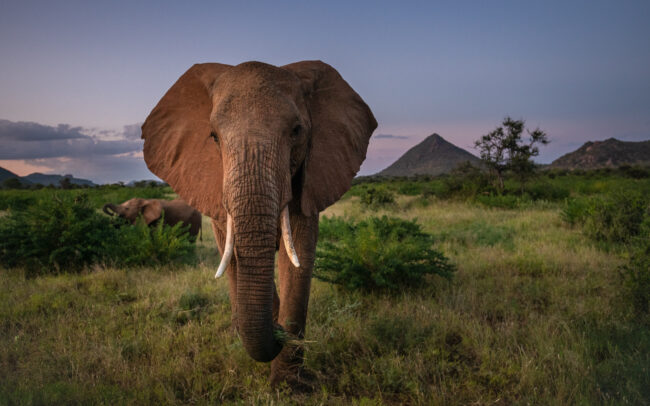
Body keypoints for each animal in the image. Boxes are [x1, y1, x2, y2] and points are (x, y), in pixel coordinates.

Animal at [141, 60, 376, 387]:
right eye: (213, 136)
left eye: (297, 131)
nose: (278, 332)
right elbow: (235, 257)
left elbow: (297, 257)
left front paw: (288, 385)